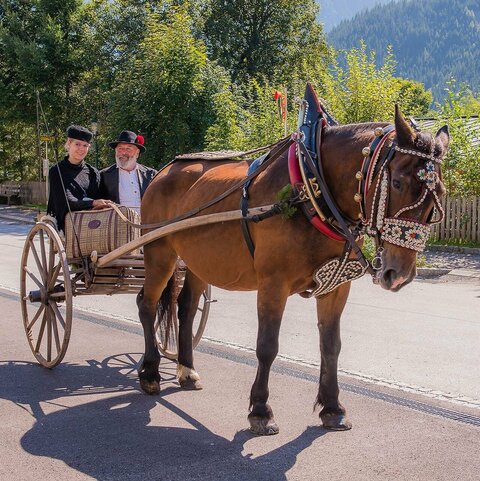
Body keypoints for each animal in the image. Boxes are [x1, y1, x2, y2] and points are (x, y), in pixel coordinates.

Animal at [136, 106, 450, 436]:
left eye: (440, 191)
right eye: (398, 182)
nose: (398, 272)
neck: (312, 190)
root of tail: (163, 172)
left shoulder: (336, 287)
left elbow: (331, 346)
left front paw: (333, 407)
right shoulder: (273, 284)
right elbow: (267, 346)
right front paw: (260, 411)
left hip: (198, 261)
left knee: (185, 307)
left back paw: (187, 370)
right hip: (160, 252)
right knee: (147, 303)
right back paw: (151, 373)